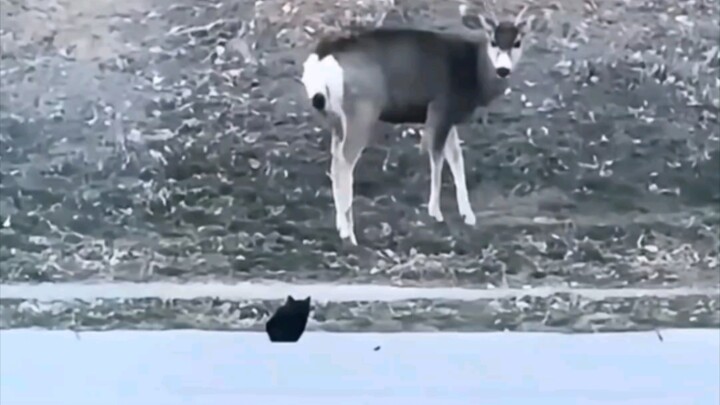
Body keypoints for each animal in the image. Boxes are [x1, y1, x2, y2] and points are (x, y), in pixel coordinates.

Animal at [300, 4, 534, 245]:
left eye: (518, 42)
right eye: (493, 41)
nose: (503, 70)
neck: (474, 71)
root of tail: (321, 58)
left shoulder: (449, 116)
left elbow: (456, 159)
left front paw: (468, 215)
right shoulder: (441, 108)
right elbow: (437, 157)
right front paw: (435, 212)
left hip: (335, 117)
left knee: (335, 161)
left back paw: (341, 226)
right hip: (362, 110)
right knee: (345, 163)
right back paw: (350, 234)